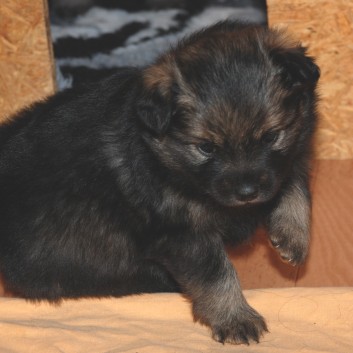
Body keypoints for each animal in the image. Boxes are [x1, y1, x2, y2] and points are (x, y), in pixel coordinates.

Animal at [0, 22, 320, 344]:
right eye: (206, 148)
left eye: (271, 136)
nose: (247, 193)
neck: (166, 159)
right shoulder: (180, 232)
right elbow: (216, 273)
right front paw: (235, 317)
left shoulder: (286, 160)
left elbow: (293, 183)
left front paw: (292, 235)